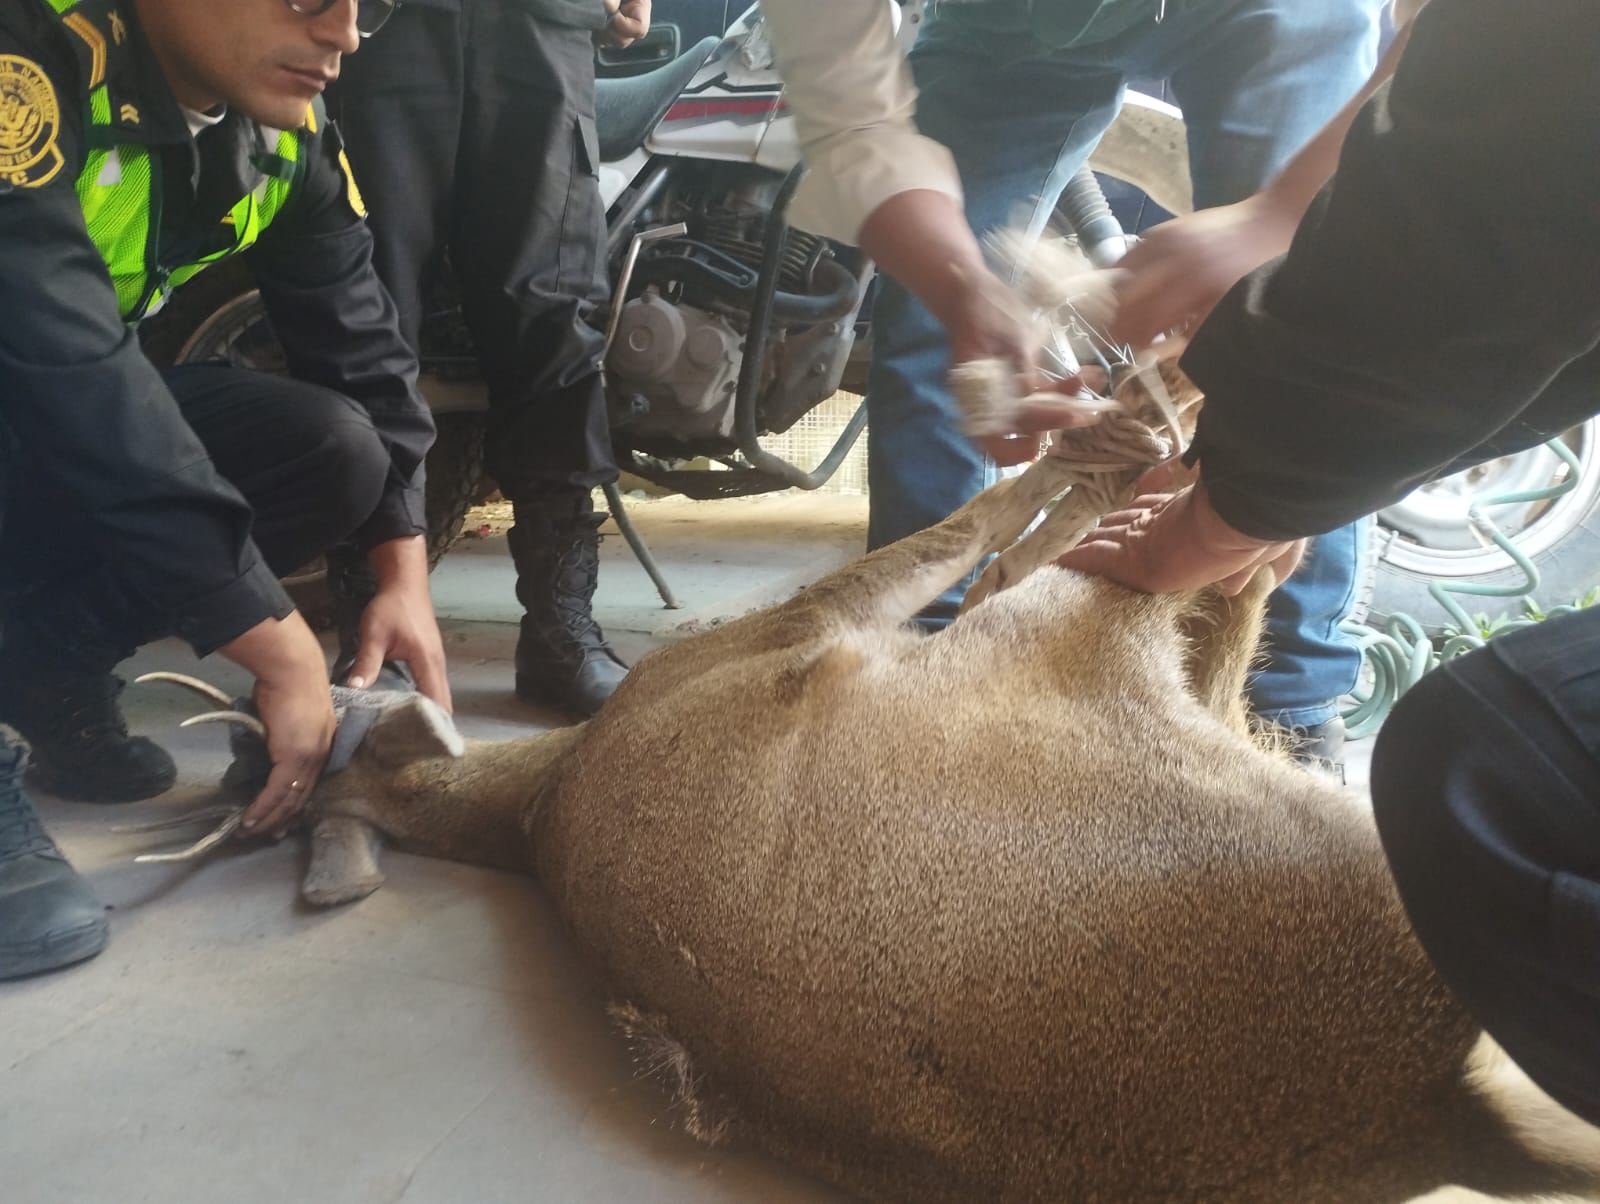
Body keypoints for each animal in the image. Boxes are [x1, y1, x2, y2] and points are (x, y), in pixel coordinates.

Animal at [137, 352, 1600, 1197]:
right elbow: (970, 533)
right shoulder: (819, 634)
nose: (350, 666)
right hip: (1088, 665)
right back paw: (1171, 415)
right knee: (1141, 539)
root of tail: (1422, 1110)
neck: (545, 802)